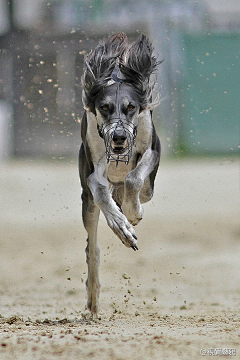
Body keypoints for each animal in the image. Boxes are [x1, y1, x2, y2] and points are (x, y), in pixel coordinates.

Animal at [79, 33, 161, 316]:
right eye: (104, 107)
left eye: (131, 107)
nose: (119, 137)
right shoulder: (93, 174)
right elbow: (101, 191)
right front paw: (123, 227)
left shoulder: (151, 152)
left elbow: (134, 178)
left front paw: (132, 212)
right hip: (86, 203)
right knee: (92, 249)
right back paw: (93, 297)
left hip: (148, 188)